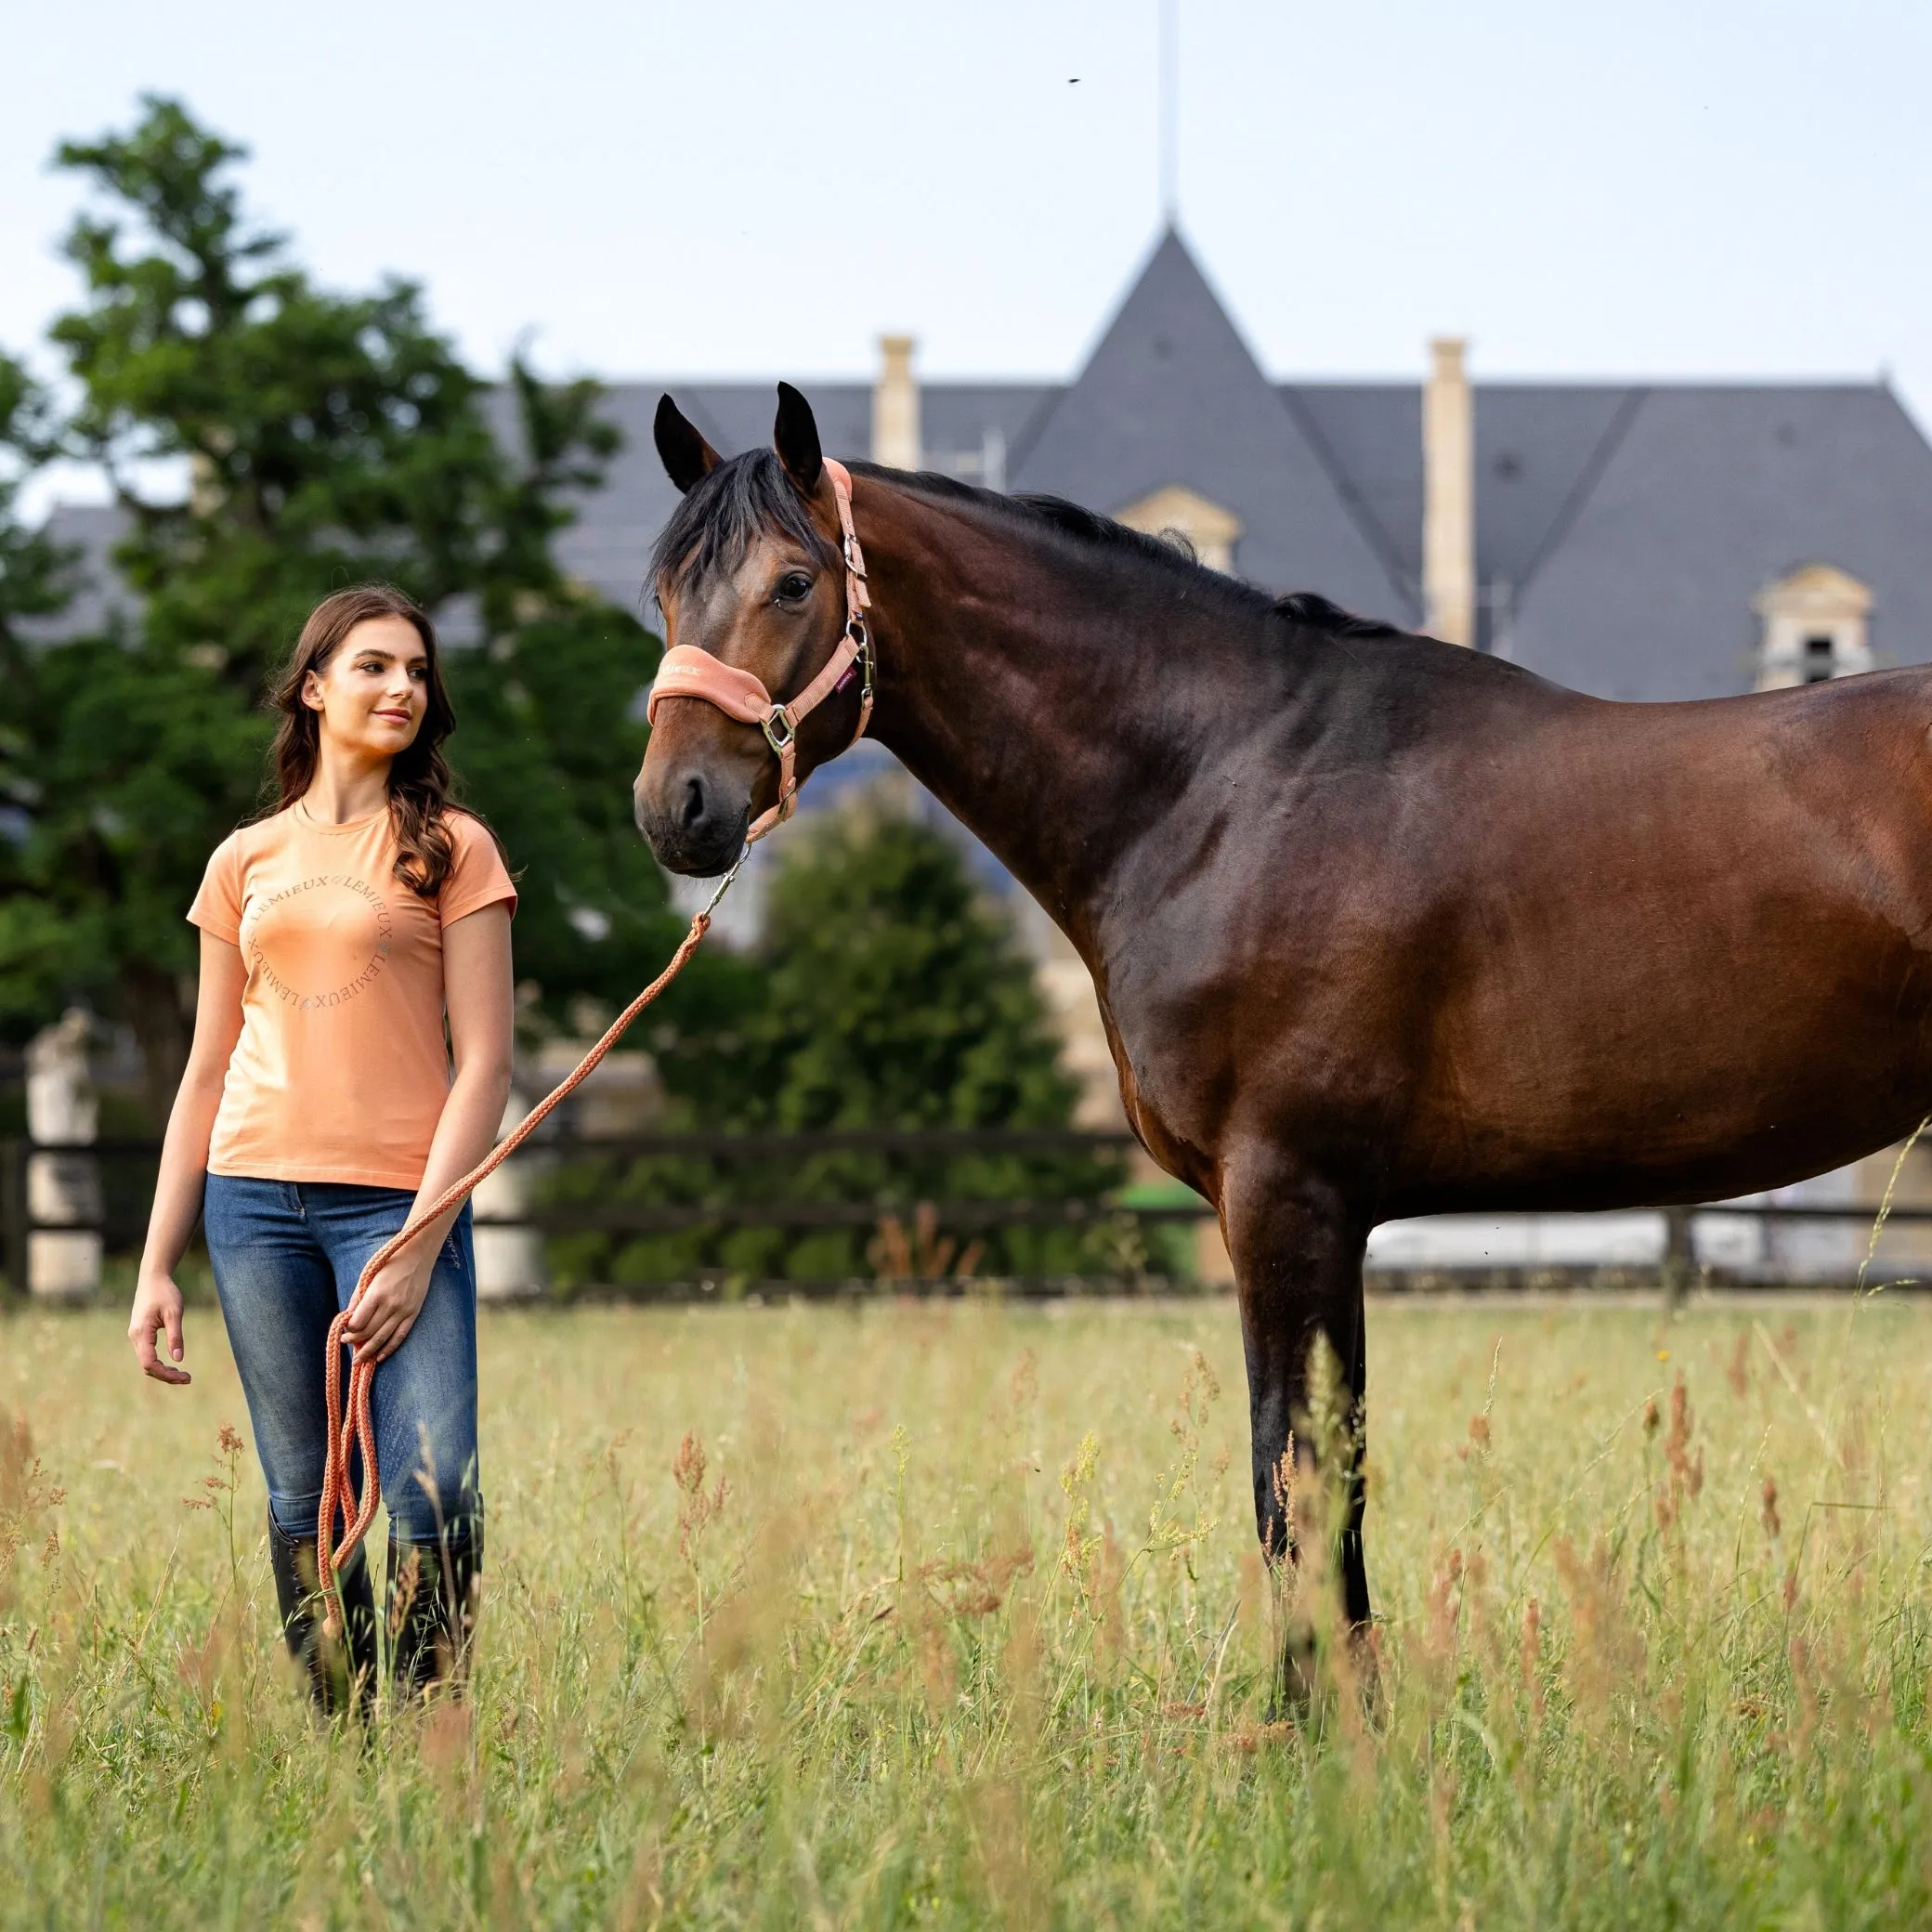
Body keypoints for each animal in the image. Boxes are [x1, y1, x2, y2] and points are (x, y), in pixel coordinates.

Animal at [633, 384, 1932, 1684]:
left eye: (793, 582)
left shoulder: (1285, 1197)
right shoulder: (1318, 1212)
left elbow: (1295, 1488)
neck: (1224, 786)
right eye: (664, 593)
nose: (674, 808)